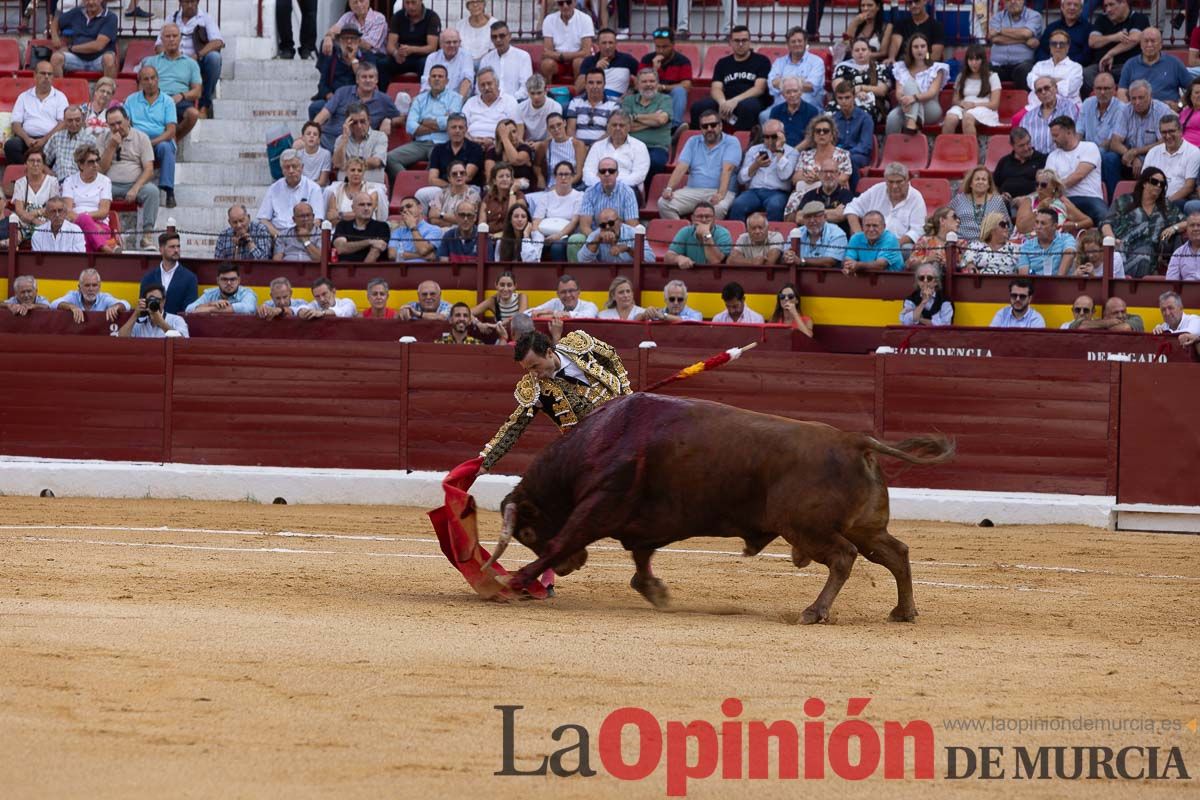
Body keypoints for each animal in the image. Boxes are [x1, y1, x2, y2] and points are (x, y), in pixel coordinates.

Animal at [484, 393, 955, 623]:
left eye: (527, 533)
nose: (572, 568)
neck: (601, 440)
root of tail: (856, 440)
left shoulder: (598, 507)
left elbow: (563, 540)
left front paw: (510, 581)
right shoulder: (643, 524)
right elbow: (640, 558)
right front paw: (656, 591)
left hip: (805, 527)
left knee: (844, 557)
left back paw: (814, 612)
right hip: (864, 526)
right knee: (895, 553)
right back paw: (903, 612)